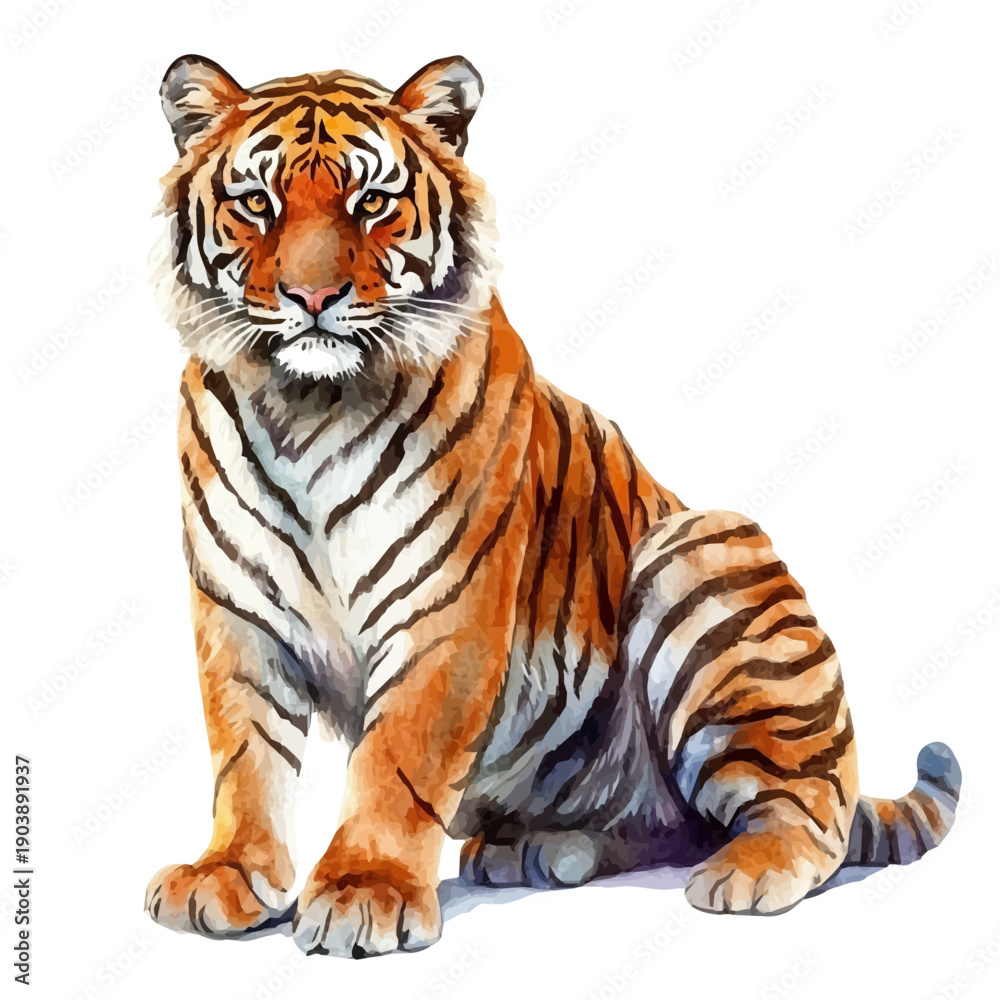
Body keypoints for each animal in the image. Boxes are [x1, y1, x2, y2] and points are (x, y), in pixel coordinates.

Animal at [144, 53, 962, 958]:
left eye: (373, 202)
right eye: (257, 202)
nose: (311, 297)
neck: (307, 405)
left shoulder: (445, 607)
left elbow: (398, 756)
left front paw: (365, 891)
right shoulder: (237, 609)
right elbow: (244, 756)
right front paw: (226, 875)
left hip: (701, 552)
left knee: (810, 808)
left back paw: (747, 874)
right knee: (674, 826)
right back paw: (541, 850)